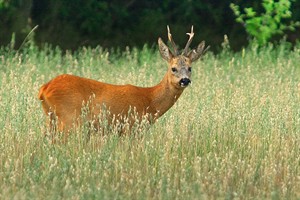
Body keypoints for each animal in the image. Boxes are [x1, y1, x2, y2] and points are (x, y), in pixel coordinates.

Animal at [38, 25, 209, 137]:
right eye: (173, 68)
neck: (150, 101)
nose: (185, 80)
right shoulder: (131, 127)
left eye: (190, 68)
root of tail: (44, 89)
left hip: (51, 119)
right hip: (68, 119)